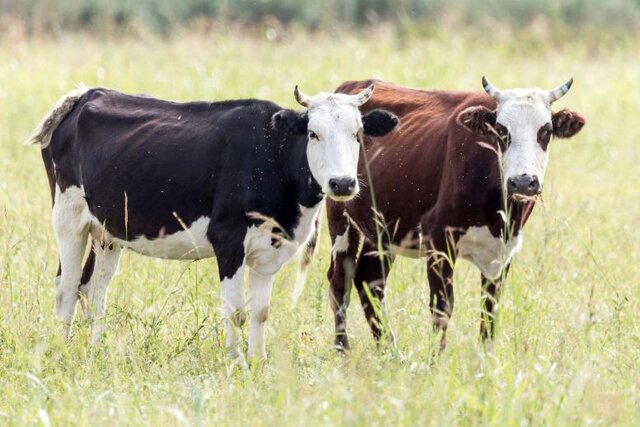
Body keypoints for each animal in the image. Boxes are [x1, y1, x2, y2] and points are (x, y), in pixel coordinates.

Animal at [31, 85, 400, 362]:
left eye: (357, 134)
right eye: (313, 134)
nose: (342, 183)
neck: (272, 157)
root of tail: (87, 94)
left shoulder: (270, 251)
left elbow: (260, 312)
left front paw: (258, 362)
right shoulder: (228, 240)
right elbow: (235, 310)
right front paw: (235, 364)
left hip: (108, 231)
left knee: (94, 288)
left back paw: (99, 351)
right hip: (68, 217)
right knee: (66, 287)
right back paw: (62, 352)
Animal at [324, 78, 584, 352]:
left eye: (545, 131)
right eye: (501, 131)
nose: (523, 182)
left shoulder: (504, 248)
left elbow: (489, 309)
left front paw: (486, 359)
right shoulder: (438, 240)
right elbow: (442, 308)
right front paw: (435, 359)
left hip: (384, 229)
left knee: (370, 278)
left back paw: (391, 352)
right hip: (340, 214)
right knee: (340, 280)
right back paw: (343, 350)